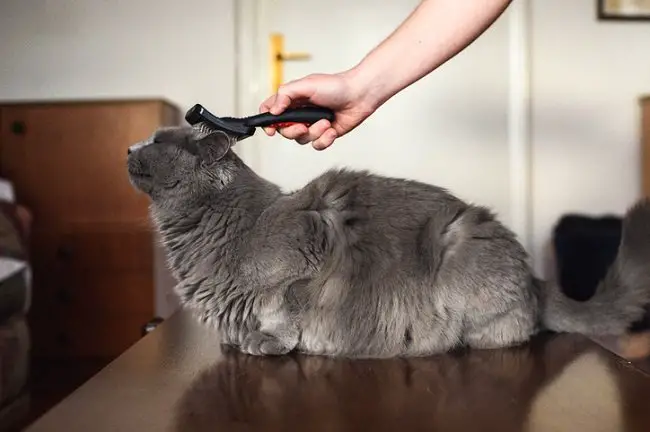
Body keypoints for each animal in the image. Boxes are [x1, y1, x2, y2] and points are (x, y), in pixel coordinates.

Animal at [125, 122, 648, 358]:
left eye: (157, 141)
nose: (129, 146)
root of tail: (536, 279)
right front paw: (238, 341)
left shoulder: (307, 248)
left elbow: (284, 308)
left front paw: (268, 341)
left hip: (457, 250)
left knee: (513, 329)